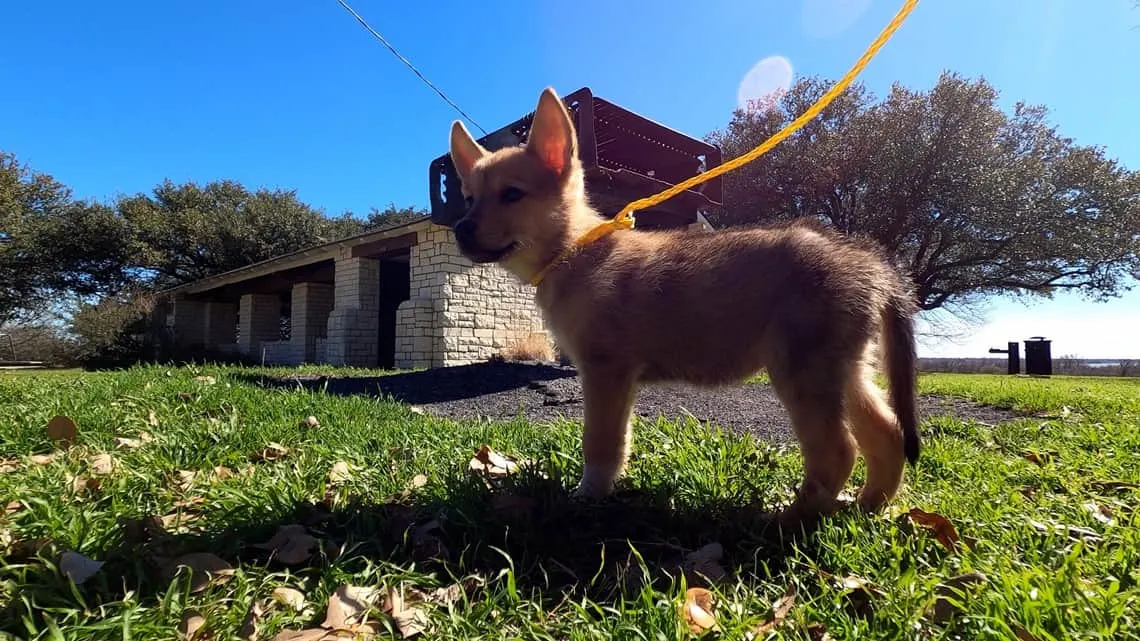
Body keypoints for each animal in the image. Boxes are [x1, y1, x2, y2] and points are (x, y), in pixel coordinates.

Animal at [442, 87, 916, 522]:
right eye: (469, 197)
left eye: (512, 195)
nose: (460, 231)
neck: (574, 252)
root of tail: (870, 264)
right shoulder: (617, 379)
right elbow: (618, 441)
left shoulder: (605, 371)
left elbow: (600, 443)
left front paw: (588, 497)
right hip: (845, 372)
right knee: (887, 435)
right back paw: (869, 508)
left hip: (801, 372)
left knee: (838, 451)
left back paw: (788, 520)